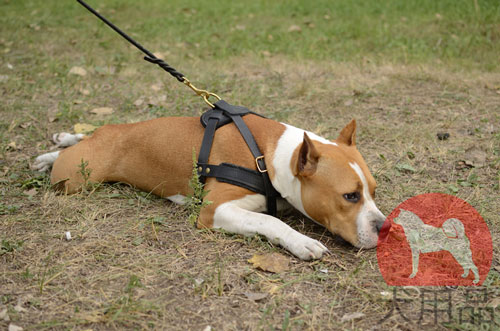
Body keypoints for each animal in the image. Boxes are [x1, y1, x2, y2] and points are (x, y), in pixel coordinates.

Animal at [34, 115, 386, 260]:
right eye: (350, 196)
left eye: (373, 191)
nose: (384, 228)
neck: (270, 155)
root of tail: (108, 134)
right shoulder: (215, 209)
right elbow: (269, 220)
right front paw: (302, 242)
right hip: (76, 177)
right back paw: (49, 158)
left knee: (82, 136)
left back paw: (61, 141)